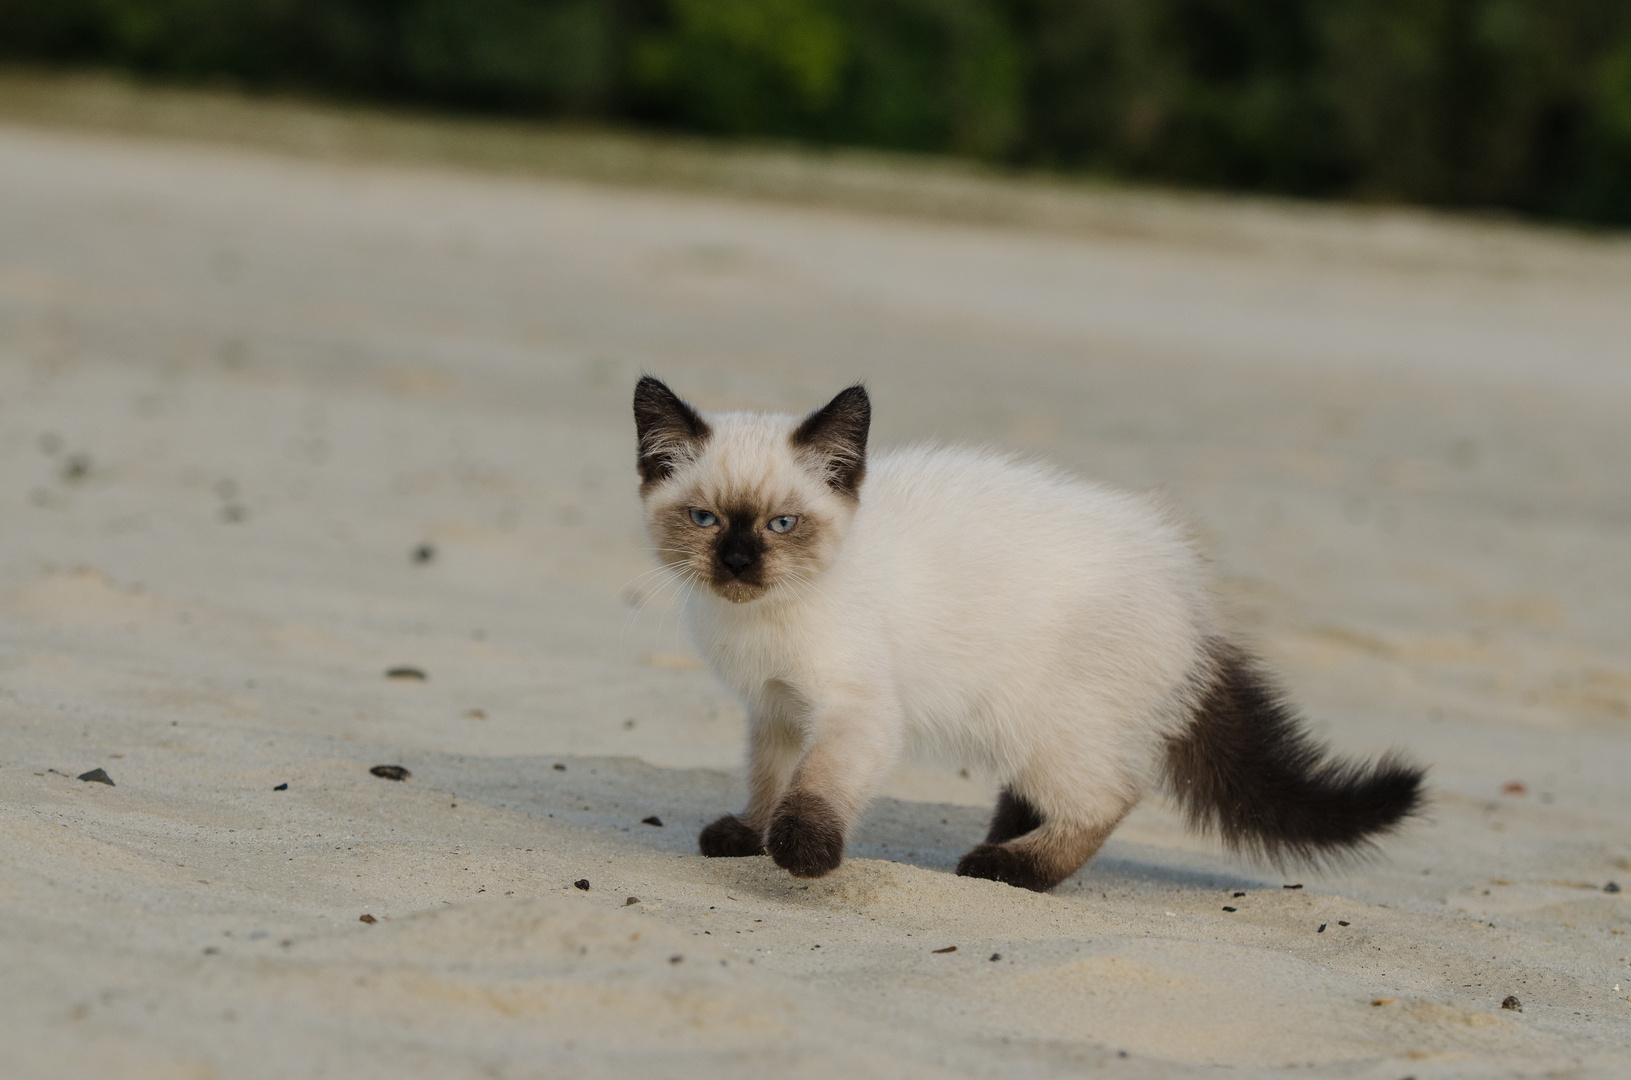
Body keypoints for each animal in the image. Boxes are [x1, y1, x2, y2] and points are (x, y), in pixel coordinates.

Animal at [629, 376, 1422, 894]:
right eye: (705, 519)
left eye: (782, 524)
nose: (737, 561)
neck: (758, 619)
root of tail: (1192, 599)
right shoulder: (776, 708)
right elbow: (769, 778)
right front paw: (746, 834)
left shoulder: (854, 707)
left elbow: (817, 783)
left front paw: (798, 852)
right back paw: (1000, 843)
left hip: (1035, 717)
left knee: (1109, 796)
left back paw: (1012, 869)